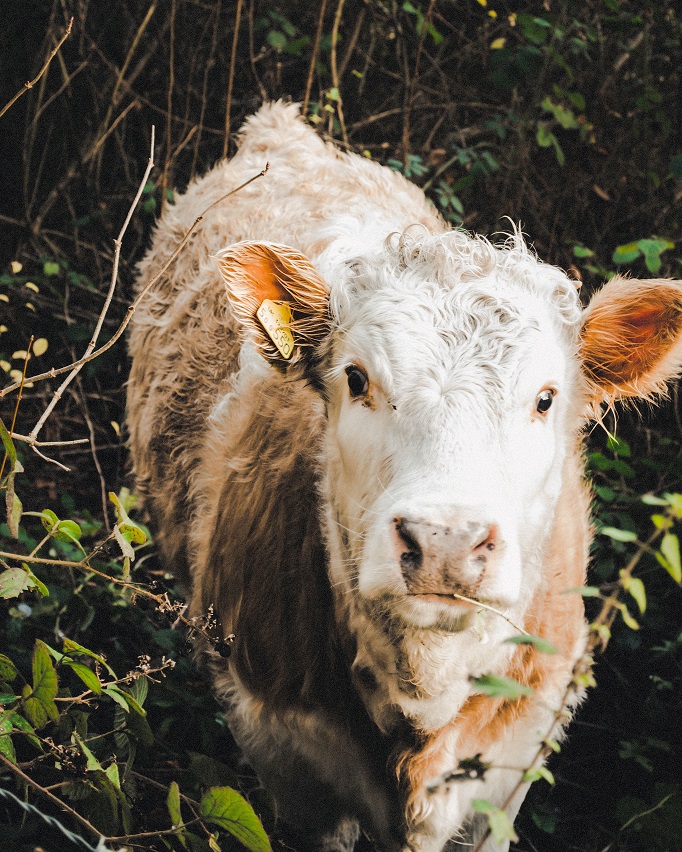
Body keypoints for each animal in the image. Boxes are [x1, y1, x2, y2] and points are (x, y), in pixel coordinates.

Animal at [126, 101, 680, 852]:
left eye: (545, 398)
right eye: (357, 378)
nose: (446, 541)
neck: (422, 701)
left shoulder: (511, 767)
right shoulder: (284, 755)